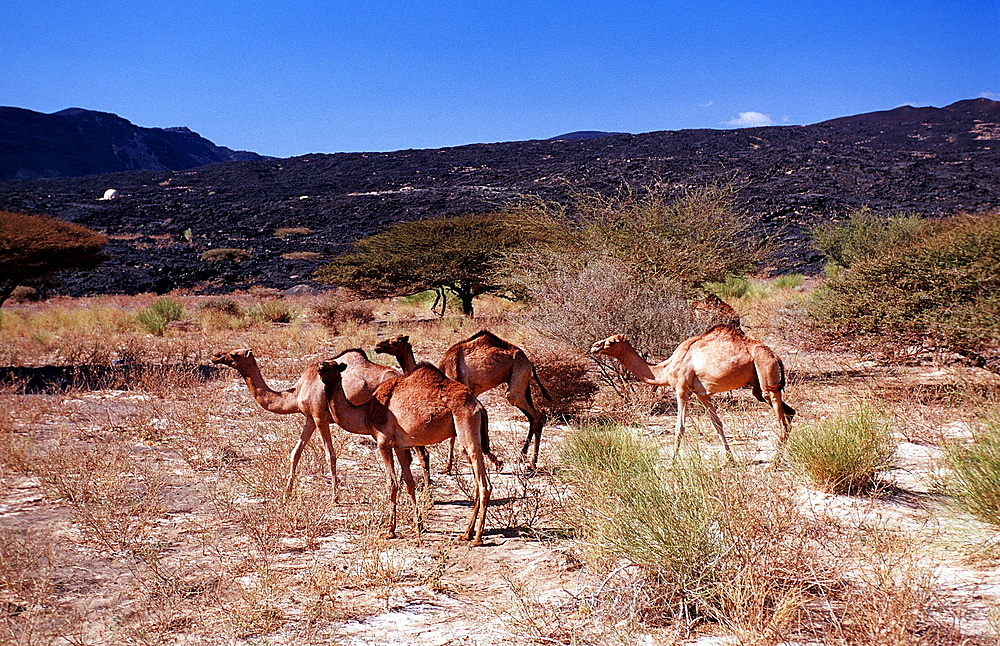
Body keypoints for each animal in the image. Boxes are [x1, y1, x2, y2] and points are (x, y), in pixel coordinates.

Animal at [318, 362, 494, 544]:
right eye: (324, 363)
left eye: (333, 366)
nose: (320, 367)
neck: (366, 414)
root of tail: (479, 406)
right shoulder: (400, 447)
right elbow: (409, 484)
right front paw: (419, 526)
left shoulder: (383, 443)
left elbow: (392, 483)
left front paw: (390, 531)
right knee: (477, 482)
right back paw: (467, 533)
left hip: (466, 424)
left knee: (484, 484)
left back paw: (477, 538)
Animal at [588, 322, 792, 456]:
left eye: (612, 342)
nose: (594, 347)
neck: (666, 368)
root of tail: (776, 356)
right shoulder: (702, 394)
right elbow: (717, 424)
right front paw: (729, 459)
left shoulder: (681, 389)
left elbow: (680, 427)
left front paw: (673, 461)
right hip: (758, 385)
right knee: (789, 414)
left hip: (765, 369)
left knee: (782, 420)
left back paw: (775, 463)